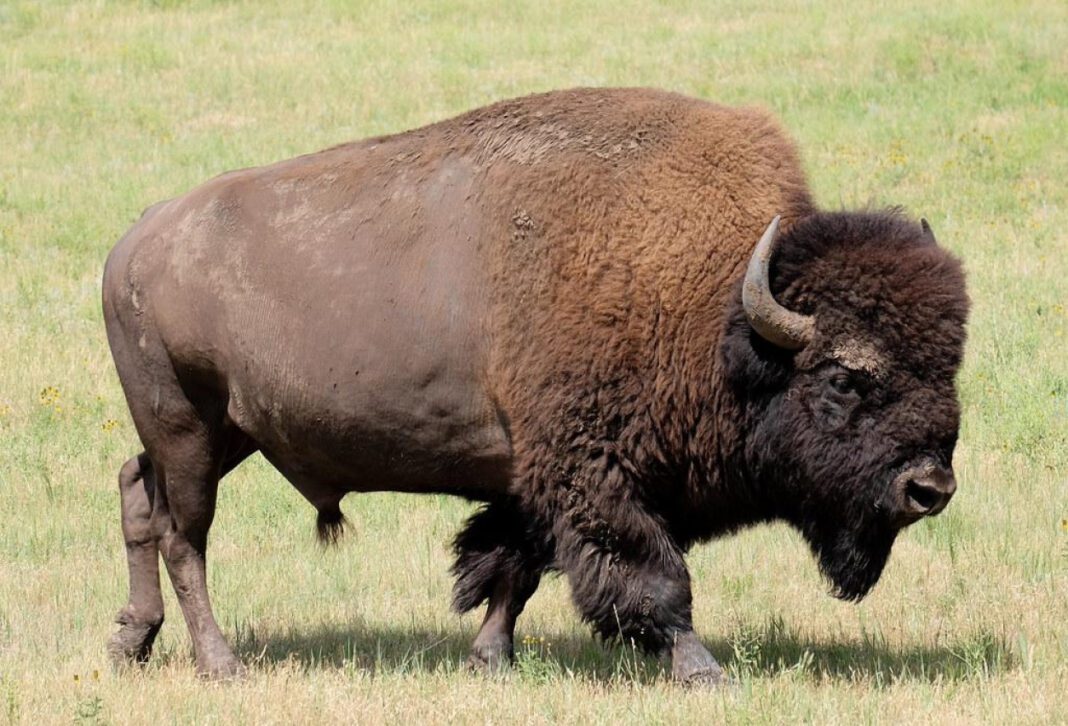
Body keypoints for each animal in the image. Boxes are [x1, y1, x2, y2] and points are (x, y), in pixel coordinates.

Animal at [102, 87, 968, 683]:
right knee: (183, 536)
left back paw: (130, 642)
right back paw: (221, 664)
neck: (714, 312)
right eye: (847, 377)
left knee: (136, 494)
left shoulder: (538, 475)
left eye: (949, 365)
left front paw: (491, 657)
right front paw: (704, 670)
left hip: (226, 433)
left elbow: (516, 565)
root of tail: (135, 239)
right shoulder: (596, 477)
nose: (930, 488)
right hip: (186, 427)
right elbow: (653, 579)